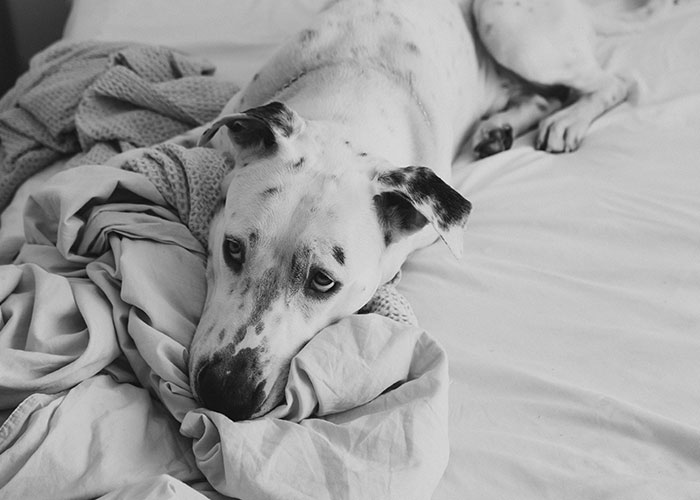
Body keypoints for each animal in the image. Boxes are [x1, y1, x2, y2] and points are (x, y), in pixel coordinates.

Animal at [186, 0, 636, 422]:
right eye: (232, 249)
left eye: (323, 281)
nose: (225, 392)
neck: (356, 76)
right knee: (543, 94)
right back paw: (500, 128)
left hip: (509, 28)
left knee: (616, 83)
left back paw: (568, 121)